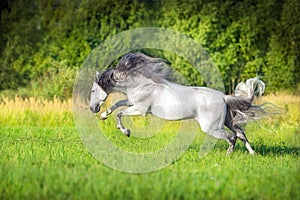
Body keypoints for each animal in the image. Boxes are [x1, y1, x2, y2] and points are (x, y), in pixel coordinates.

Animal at [89, 52, 264, 154]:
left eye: (92, 91)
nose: (92, 108)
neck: (140, 84)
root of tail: (223, 97)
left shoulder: (141, 109)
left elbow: (119, 113)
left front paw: (126, 132)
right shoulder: (133, 102)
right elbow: (118, 104)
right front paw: (104, 115)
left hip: (211, 127)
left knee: (232, 137)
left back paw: (229, 156)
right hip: (228, 121)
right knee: (241, 134)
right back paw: (252, 153)